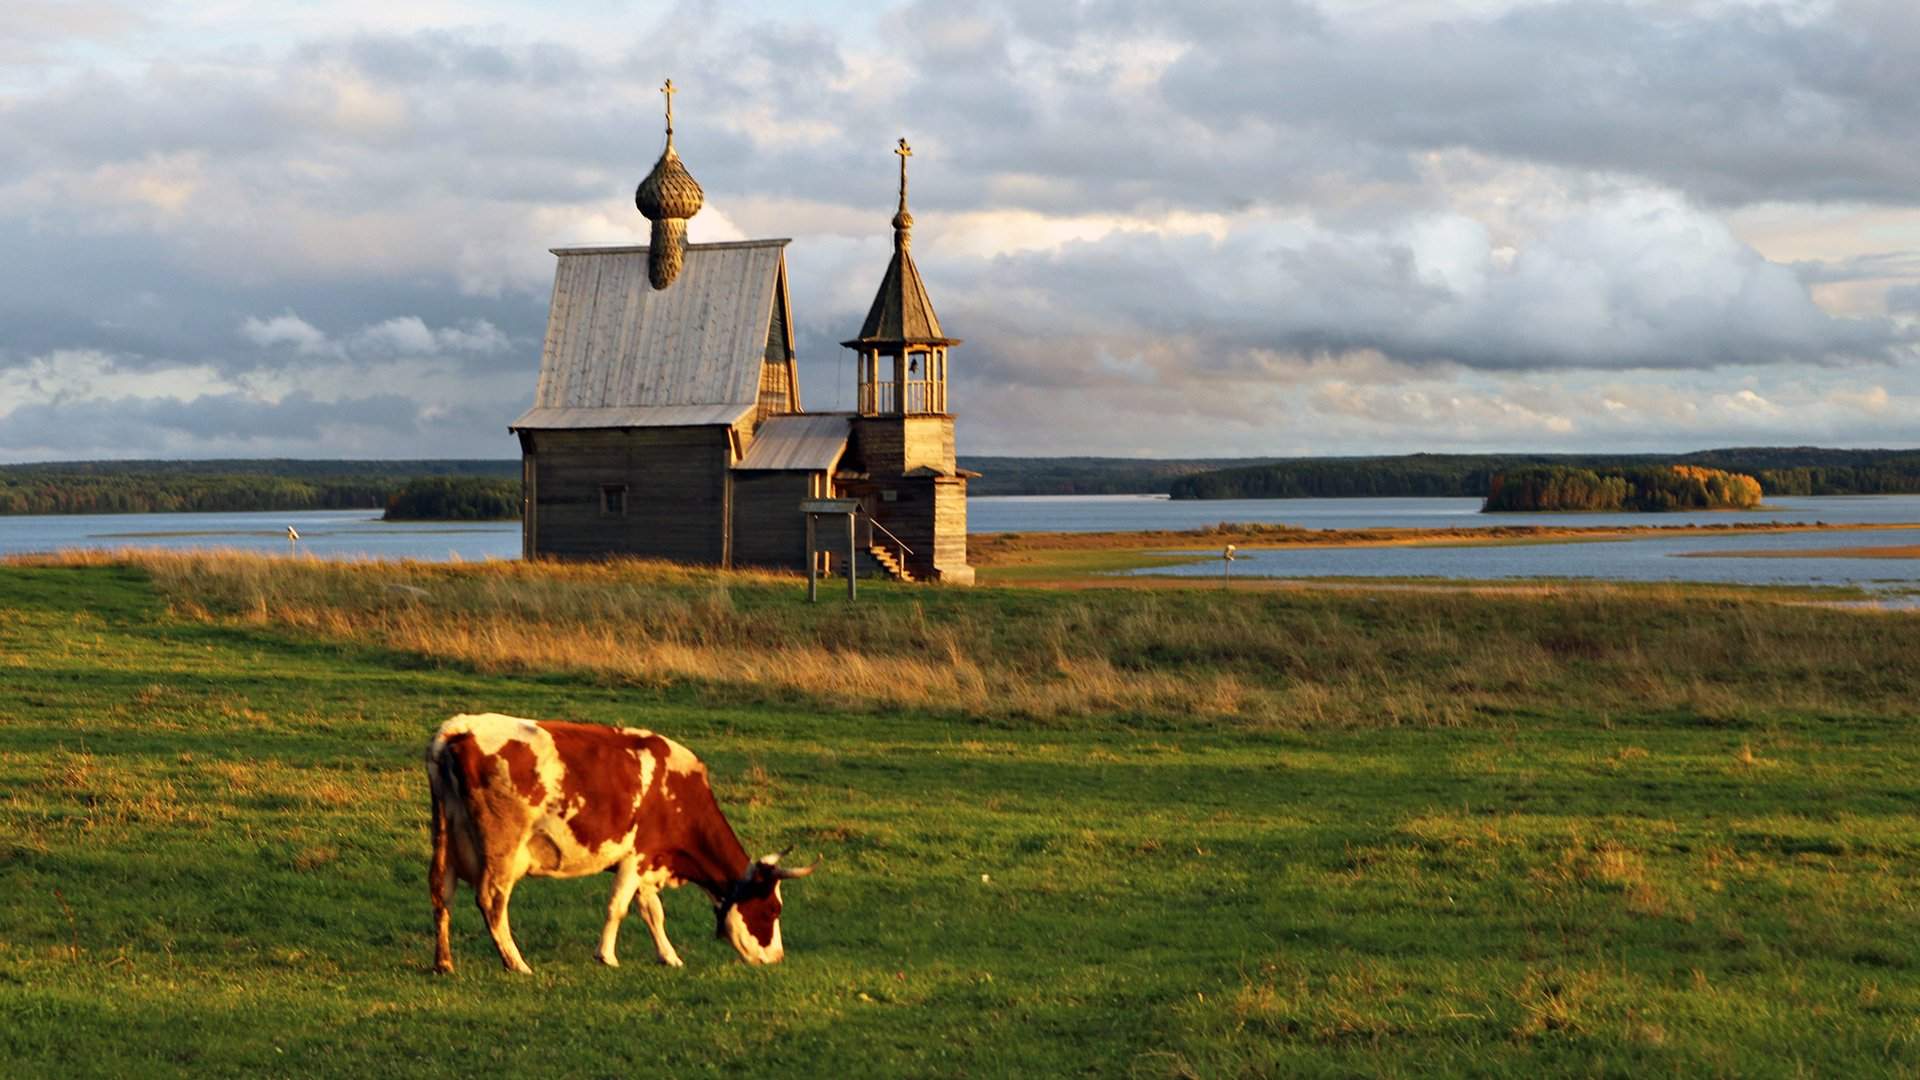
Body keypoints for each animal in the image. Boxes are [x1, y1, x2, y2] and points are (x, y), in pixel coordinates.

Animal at [424, 711, 814, 972]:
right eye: (772, 910)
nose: (777, 957)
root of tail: (459, 728)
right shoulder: (636, 856)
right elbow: (619, 907)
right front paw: (607, 956)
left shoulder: (650, 860)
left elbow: (653, 911)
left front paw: (669, 956)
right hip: (502, 848)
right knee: (492, 900)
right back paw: (516, 962)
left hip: (446, 840)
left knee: (442, 894)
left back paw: (444, 962)